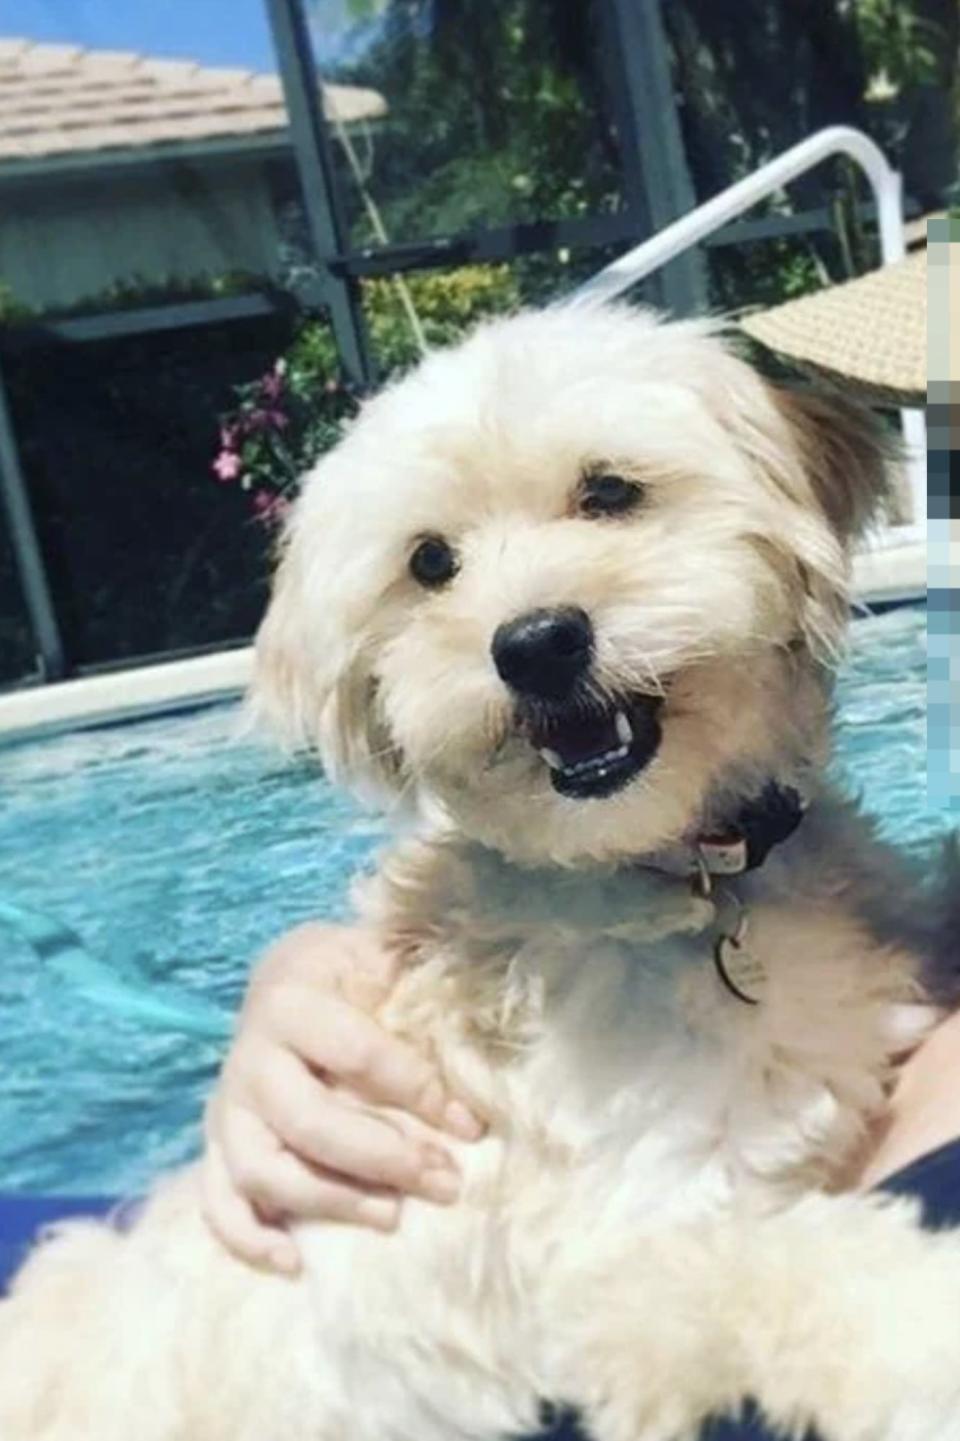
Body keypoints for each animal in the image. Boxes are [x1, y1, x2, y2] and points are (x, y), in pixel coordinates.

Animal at [1, 306, 957, 1441]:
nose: (536, 644)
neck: (675, 872)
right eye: (429, 562)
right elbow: (801, 1273)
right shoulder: (633, 1247)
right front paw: (925, 1324)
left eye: (608, 490)